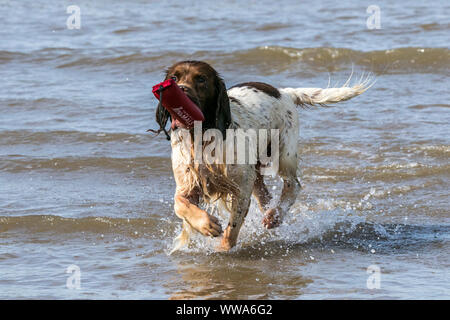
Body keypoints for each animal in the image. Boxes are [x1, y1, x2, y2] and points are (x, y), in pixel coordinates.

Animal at [153, 61, 370, 254]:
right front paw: (207, 224)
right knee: (265, 195)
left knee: (293, 185)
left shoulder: (241, 187)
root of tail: (284, 92)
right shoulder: (188, 184)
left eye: (201, 79)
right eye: (174, 78)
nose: (181, 90)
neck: (201, 139)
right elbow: (181, 205)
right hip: (256, 172)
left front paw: (223, 248)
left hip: (284, 155)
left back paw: (275, 216)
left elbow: (233, 226)